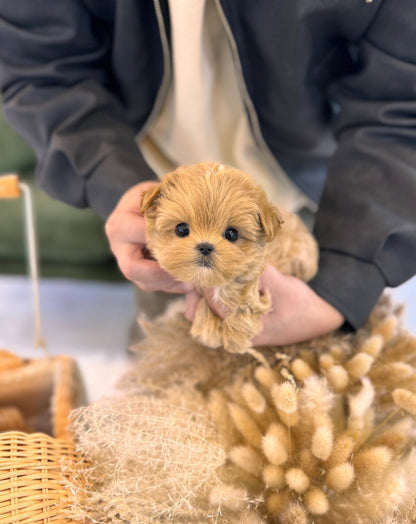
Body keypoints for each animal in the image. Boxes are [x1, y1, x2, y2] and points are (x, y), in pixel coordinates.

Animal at [141, 162, 318, 358]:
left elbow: (242, 294)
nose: (205, 247)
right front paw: (208, 330)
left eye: (232, 234)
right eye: (181, 229)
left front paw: (235, 337)